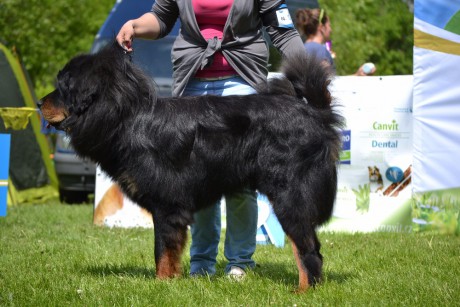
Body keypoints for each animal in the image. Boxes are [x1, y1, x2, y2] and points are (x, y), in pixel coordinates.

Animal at [38, 42, 342, 292]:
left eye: (64, 87)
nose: (40, 102)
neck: (127, 119)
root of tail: (315, 113)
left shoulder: (167, 205)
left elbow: (162, 250)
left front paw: (160, 284)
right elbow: (171, 251)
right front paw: (173, 281)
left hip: (289, 196)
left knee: (306, 249)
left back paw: (303, 290)